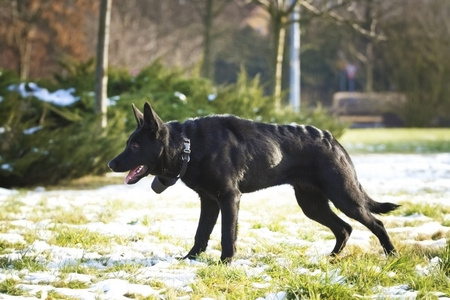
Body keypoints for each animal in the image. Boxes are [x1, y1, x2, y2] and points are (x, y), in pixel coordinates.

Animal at [108, 102, 398, 262]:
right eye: (128, 143)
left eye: (135, 145)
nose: (111, 163)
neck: (188, 146)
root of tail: (333, 140)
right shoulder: (209, 202)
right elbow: (201, 234)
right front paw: (190, 259)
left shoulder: (229, 198)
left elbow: (227, 234)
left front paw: (226, 261)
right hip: (312, 205)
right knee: (344, 228)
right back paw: (332, 258)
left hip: (344, 197)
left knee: (376, 223)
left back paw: (392, 255)